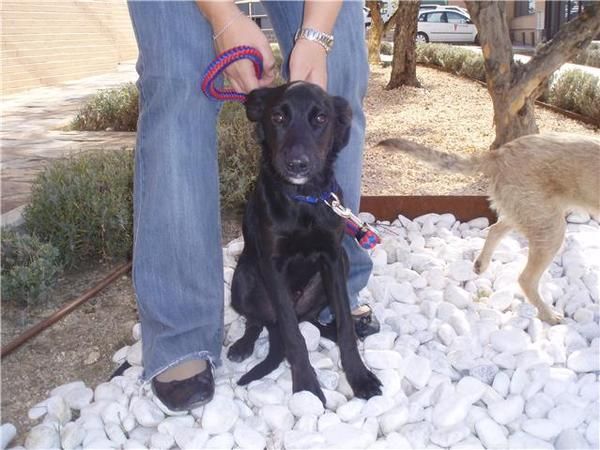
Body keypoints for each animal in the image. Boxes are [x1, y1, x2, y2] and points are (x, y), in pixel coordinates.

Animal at [227, 81, 382, 404]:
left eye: (321, 118)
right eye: (277, 117)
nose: (297, 164)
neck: (304, 200)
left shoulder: (333, 258)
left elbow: (344, 324)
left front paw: (359, 376)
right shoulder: (273, 266)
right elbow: (293, 337)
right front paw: (307, 387)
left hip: (335, 271)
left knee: (312, 322)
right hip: (243, 278)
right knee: (261, 321)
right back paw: (243, 345)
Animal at [380, 132, 600, 326]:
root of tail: (500, 153)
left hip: (532, 214)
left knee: (495, 229)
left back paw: (481, 264)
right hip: (550, 227)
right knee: (526, 278)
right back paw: (548, 314)